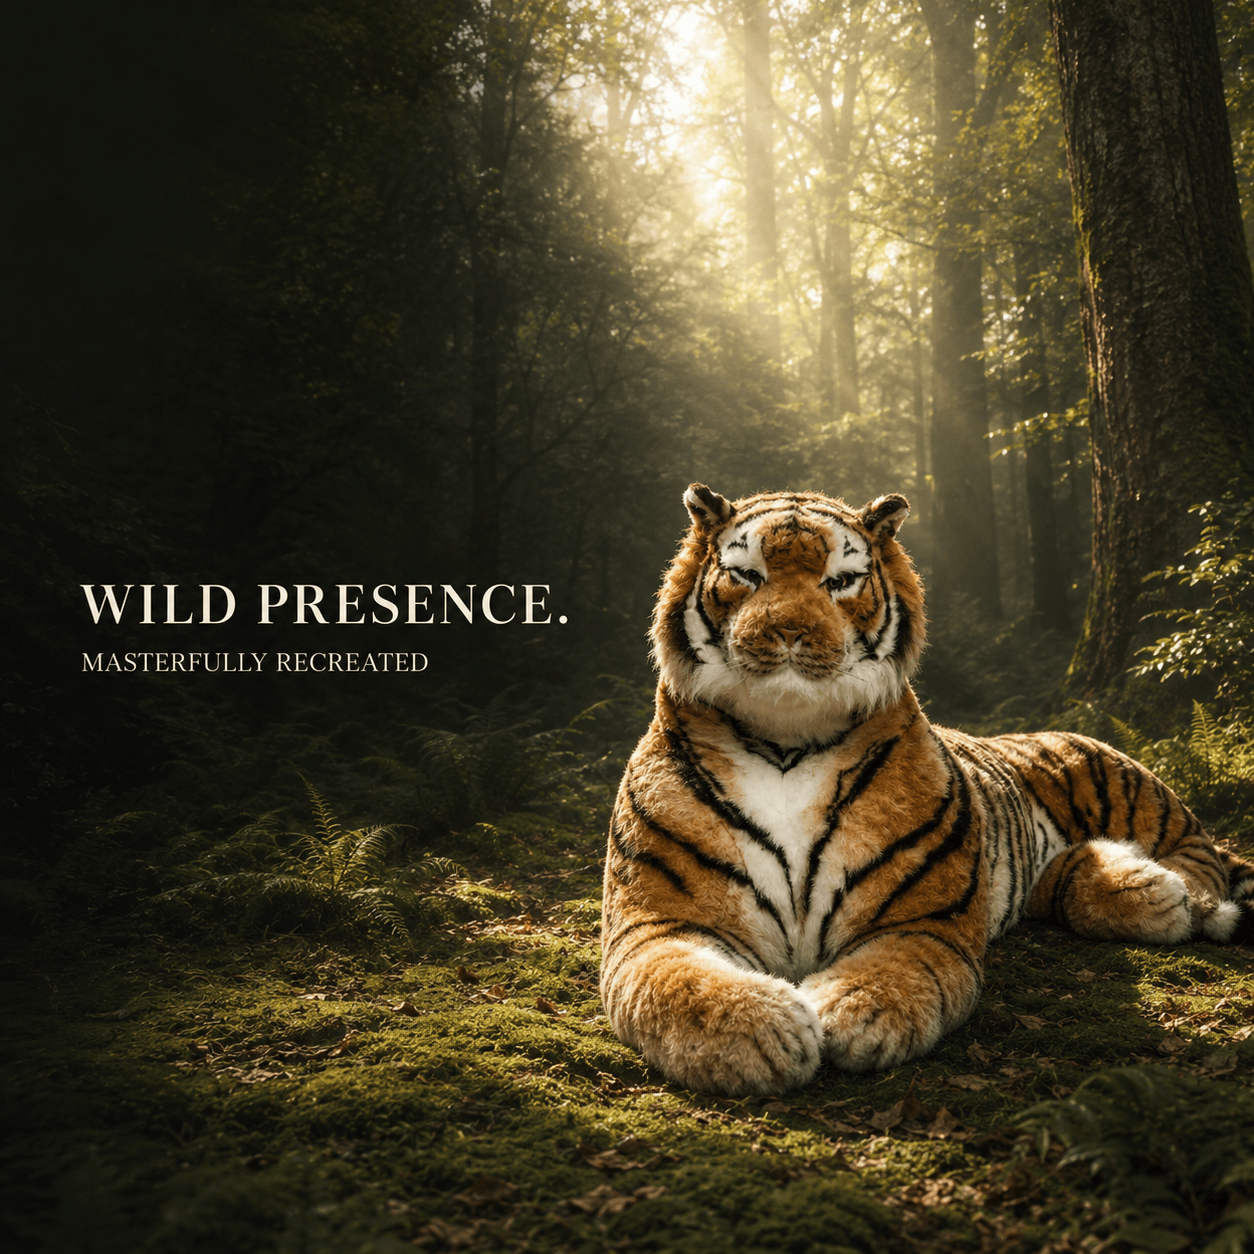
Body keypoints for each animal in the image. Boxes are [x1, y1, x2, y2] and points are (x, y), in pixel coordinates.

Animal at [599, 484, 1254, 1096]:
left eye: (841, 582)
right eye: (746, 575)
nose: (790, 632)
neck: (786, 742)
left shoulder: (924, 921)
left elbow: (893, 974)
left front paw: (855, 1015)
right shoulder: (656, 923)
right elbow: (682, 981)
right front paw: (757, 1033)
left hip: (1114, 778)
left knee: (1201, 852)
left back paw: (1178, 897)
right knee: (1070, 878)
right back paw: (1135, 882)